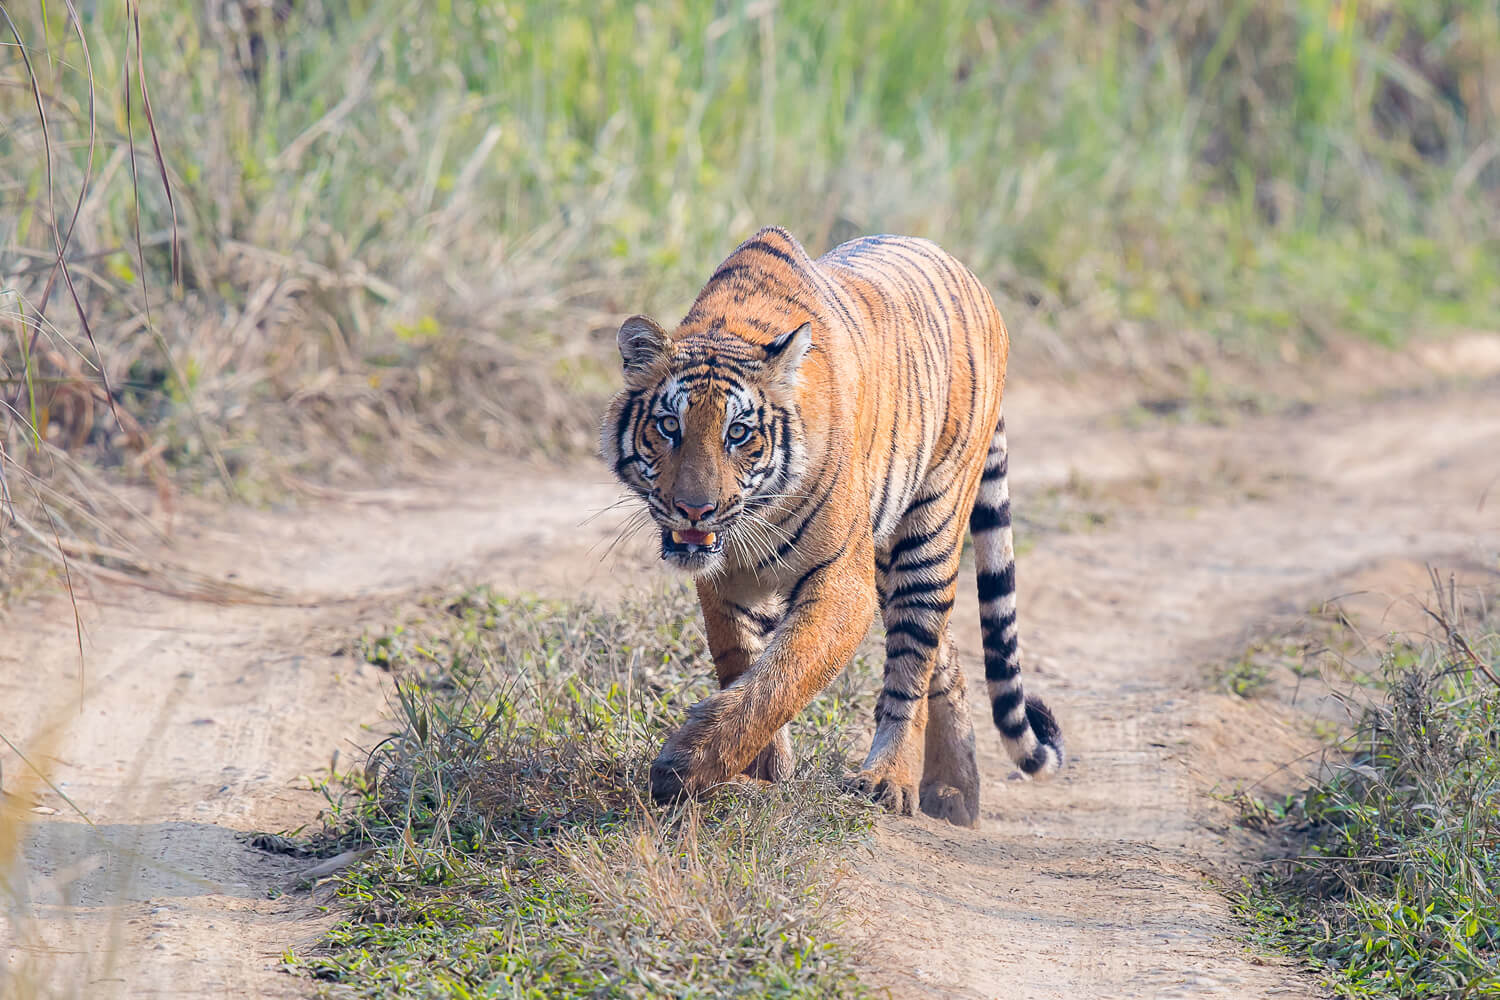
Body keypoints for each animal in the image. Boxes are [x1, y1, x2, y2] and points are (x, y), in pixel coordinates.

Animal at [601, 226, 1063, 826]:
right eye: (668, 426)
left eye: (738, 433)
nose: (694, 509)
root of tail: (975, 281)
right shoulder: (725, 581)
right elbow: (740, 662)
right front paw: (760, 773)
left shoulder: (844, 585)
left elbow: (782, 677)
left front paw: (686, 767)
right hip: (886, 552)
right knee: (947, 651)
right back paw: (955, 791)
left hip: (929, 530)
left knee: (913, 663)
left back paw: (890, 780)